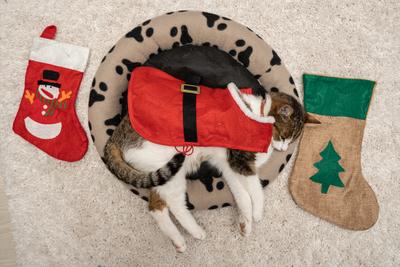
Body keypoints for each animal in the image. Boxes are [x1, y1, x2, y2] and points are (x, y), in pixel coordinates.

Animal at [104, 82, 318, 253]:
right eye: (283, 136)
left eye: (292, 141)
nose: (283, 148)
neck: (256, 113)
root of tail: (115, 137)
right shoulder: (239, 162)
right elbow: (255, 190)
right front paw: (257, 214)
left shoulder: (229, 167)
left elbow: (243, 196)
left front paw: (245, 224)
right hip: (171, 168)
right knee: (175, 204)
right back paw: (196, 231)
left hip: (163, 174)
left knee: (156, 208)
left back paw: (179, 241)